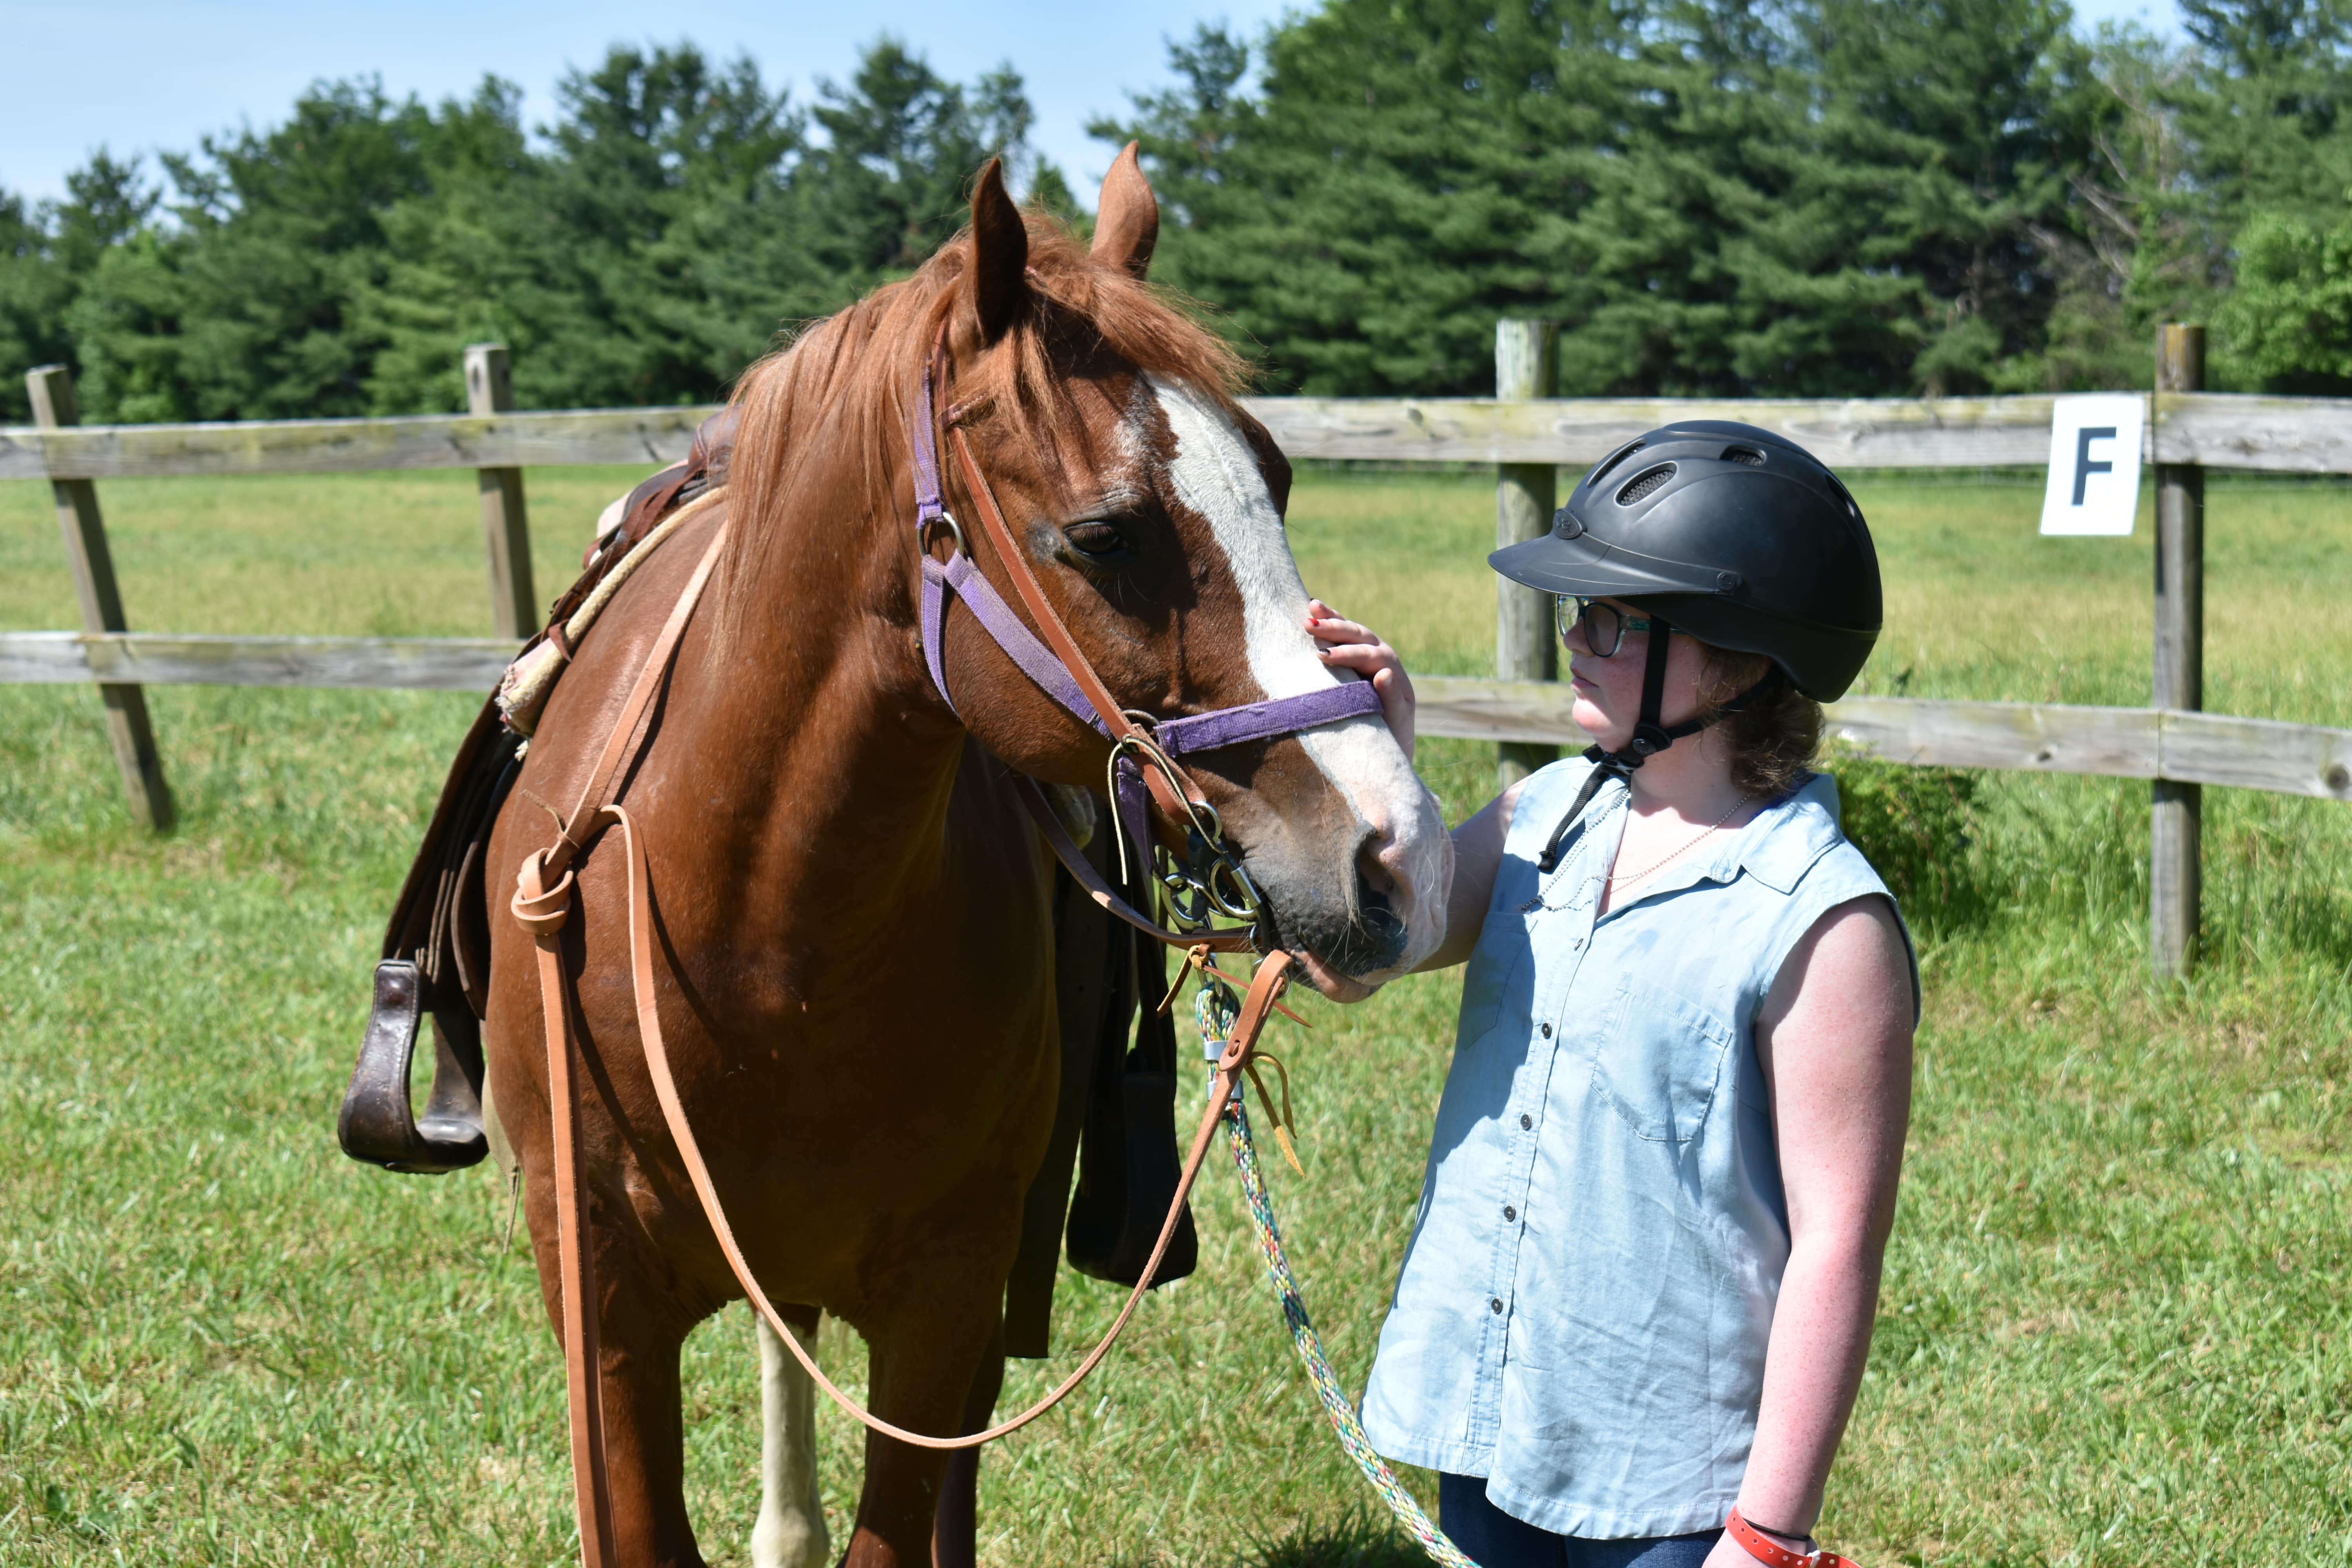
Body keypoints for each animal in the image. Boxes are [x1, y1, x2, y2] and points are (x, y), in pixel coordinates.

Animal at [480, 150, 1449, 1568]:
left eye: (1275, 480)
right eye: (1107, 536)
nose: (1400, 859)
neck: (758, 928)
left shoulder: (943, 1305)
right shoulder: (600, 1297)